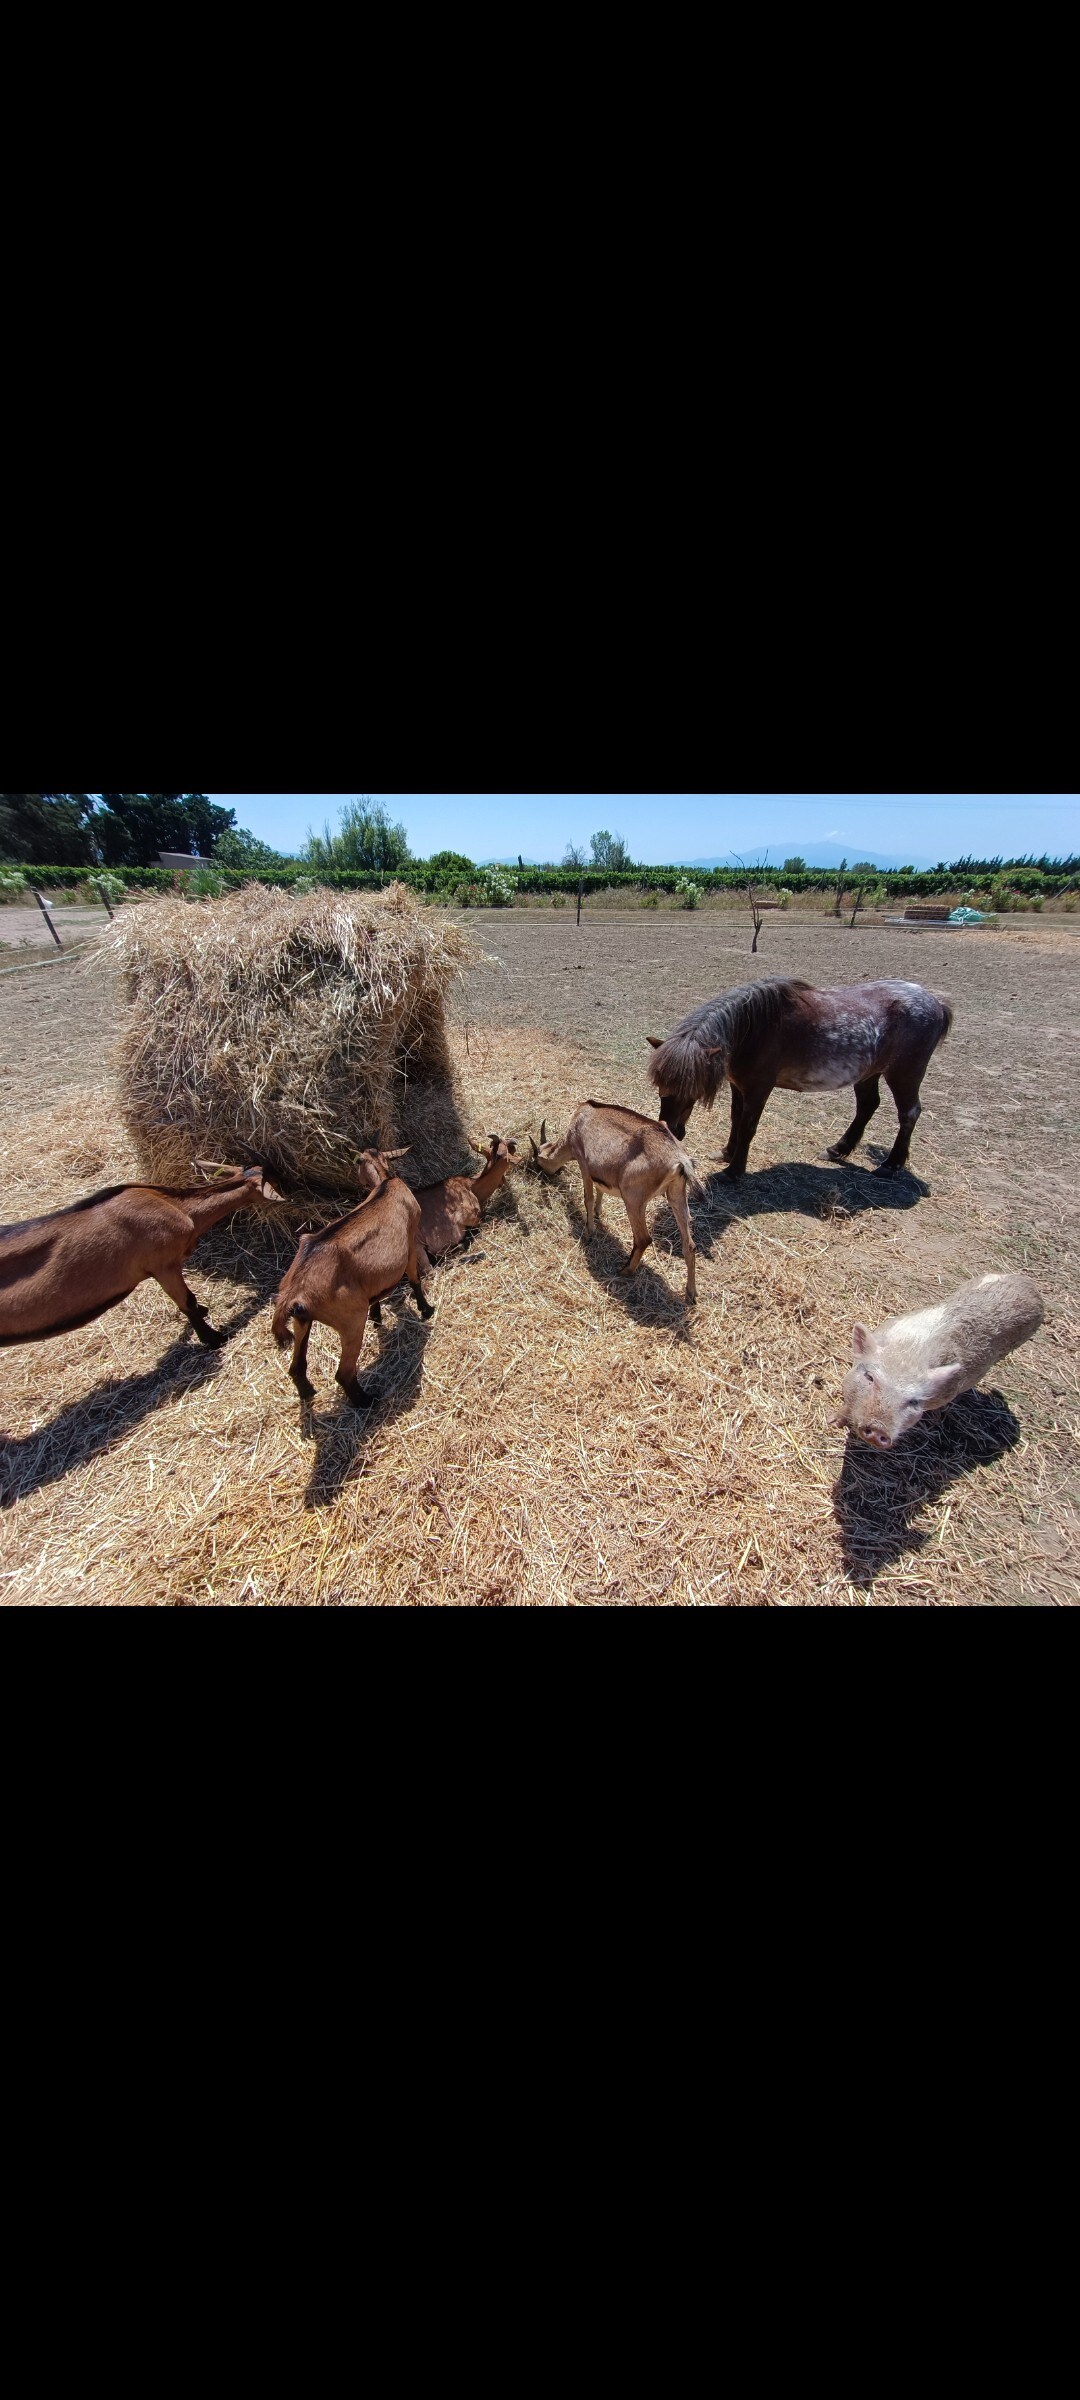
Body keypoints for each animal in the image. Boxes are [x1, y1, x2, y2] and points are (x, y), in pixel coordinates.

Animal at [0, 1161, 283, 1353]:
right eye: (271, 1178)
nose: (284, 1173)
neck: (177, 1207)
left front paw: (204, 1315)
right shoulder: (163, 1264)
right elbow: (187, 1302)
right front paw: (213, 1338)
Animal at [272, 1147, 432, 1401]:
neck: (385, 1182)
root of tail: (295, 1292)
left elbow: (377, 1296)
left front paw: (377, 1318)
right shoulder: (411, 1239)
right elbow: (415, 1279)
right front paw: (426, 1310)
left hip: (302, 1320)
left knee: (297, 1367)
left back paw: (308, 1393)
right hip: (351, 1319)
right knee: (344, 1373)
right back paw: (368, 1400)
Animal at [530, 1108, 700, 1305]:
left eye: (538, 1161)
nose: (540, 1174)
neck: (579, 1120)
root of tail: (680, 1160)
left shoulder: (583, 1161)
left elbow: (588, 1197)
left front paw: (589, 1232)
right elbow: (599, 1189)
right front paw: (597, 1212)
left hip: (633, 1199)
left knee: (643, 1239)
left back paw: (625, 1271)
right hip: (676, 1194)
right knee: (690, 1245)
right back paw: (691, 1294)